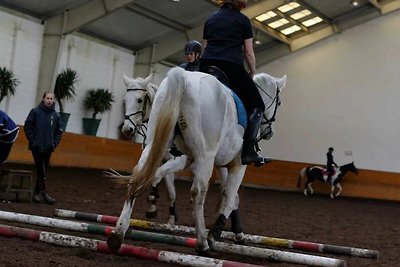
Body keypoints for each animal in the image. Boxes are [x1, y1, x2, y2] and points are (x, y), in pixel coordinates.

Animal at [108, 67, 284, 255]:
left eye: (139, 100)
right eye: (279, 103)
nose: (127, 129)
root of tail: (184, 77)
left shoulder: (189, 160)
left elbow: (159, 177)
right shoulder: (236, 164)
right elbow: (230, 198)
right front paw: (219, 233)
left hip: (155, 146)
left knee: (136, 176)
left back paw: (118, 232)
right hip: (206, 156)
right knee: (198, 192)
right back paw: (202, 242)